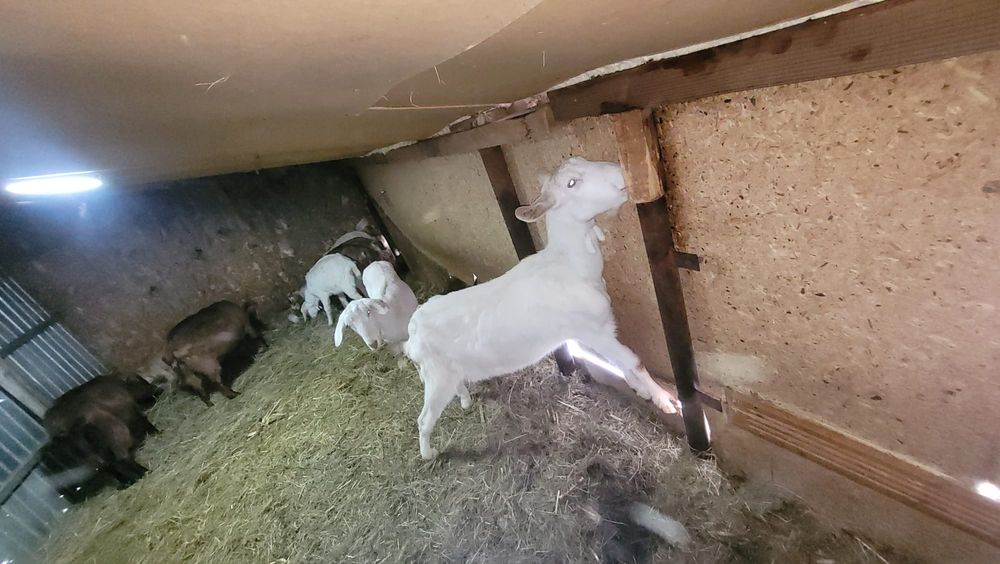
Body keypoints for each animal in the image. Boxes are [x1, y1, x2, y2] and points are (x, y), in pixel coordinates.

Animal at [404, 157, 679, 459]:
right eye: (571, 183)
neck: (570, 264)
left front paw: (641, 390)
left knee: (457, 387)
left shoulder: (599, 329)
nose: (623, 175)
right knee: (423, 419)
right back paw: (428, 453)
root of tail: (413, 329)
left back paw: (465, 402)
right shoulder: (589, 329)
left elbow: (619, 362)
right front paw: (664, 399)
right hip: (437, 376)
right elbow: (633, 361)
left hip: (447, 372)